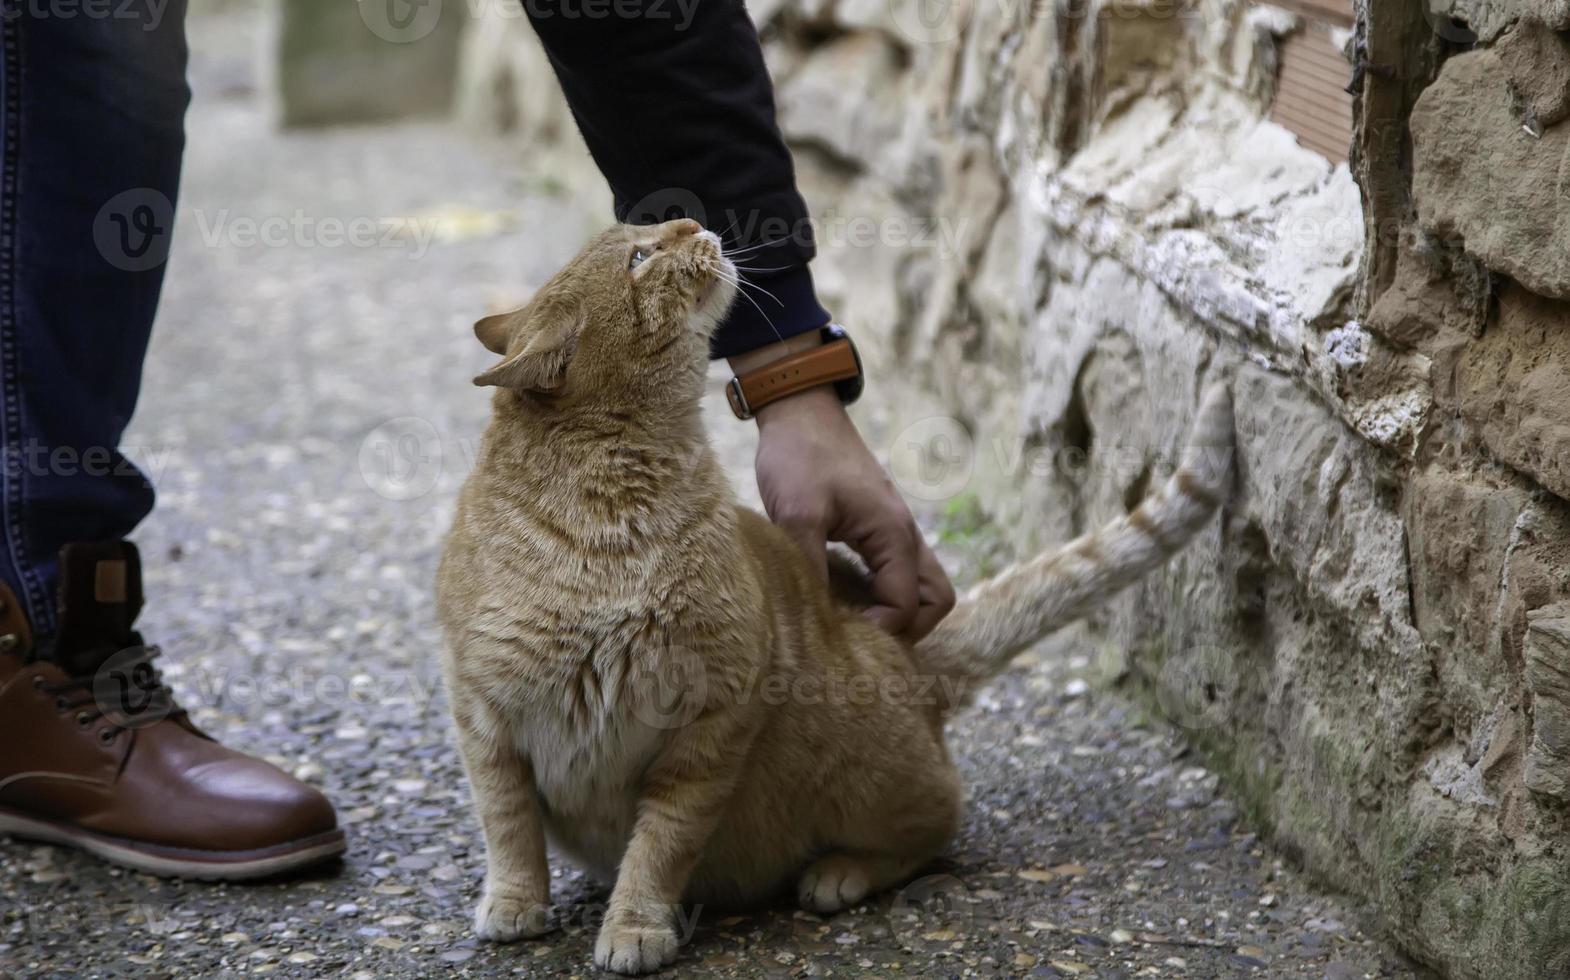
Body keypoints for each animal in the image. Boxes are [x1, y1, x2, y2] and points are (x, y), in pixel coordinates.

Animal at [436, 218, 1230, 973]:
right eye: (638, 257)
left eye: (649, 238)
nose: (692, 221)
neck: (610, 509)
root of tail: (905, 657)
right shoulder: (483, 716)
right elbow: (508, 827)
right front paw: (515, 902)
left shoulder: (714, 718)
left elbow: (660, 845)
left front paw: (635, 924)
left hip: (870, 769)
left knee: (942, 819)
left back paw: (839, 873)